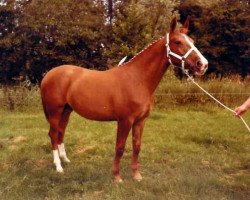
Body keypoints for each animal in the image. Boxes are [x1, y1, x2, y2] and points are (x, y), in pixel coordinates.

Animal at [41, 17, 208, 183]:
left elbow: (137, 146)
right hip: (55, 112)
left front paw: (136, 175)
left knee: (60, 133)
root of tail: (48, 75)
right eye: (177, 42)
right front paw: (117, 176)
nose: (203, 64)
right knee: (53, 134)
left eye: (192, 41)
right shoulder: (125, 120)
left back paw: (65, 159)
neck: (137, 79)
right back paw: (58, 166)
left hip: (66, 111)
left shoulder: (140, 120)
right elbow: (120, 147)